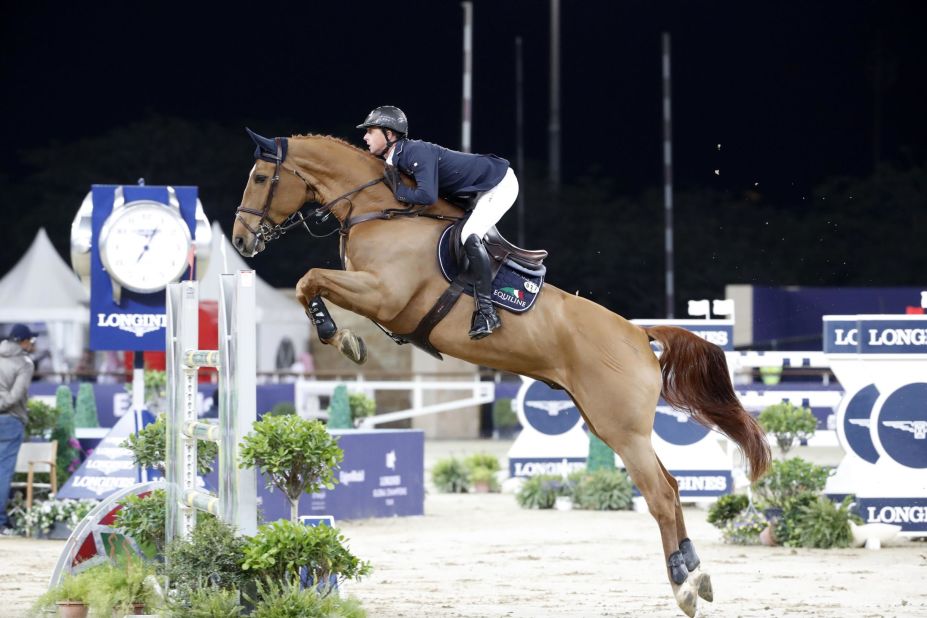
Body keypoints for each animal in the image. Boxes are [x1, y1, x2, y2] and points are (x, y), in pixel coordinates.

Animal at [230, 131, 768, 616]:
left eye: (258, 177)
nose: (240, 239)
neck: (376, 209)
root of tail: (639, 335)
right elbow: (311, 282)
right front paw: (343, 336)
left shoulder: (383, 294)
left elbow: (310, 280)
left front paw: (342, 338)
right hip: (606, 423)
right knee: (673, 489)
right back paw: (697, 574)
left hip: (622, 429)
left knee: (660, 493)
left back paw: (682, 585)